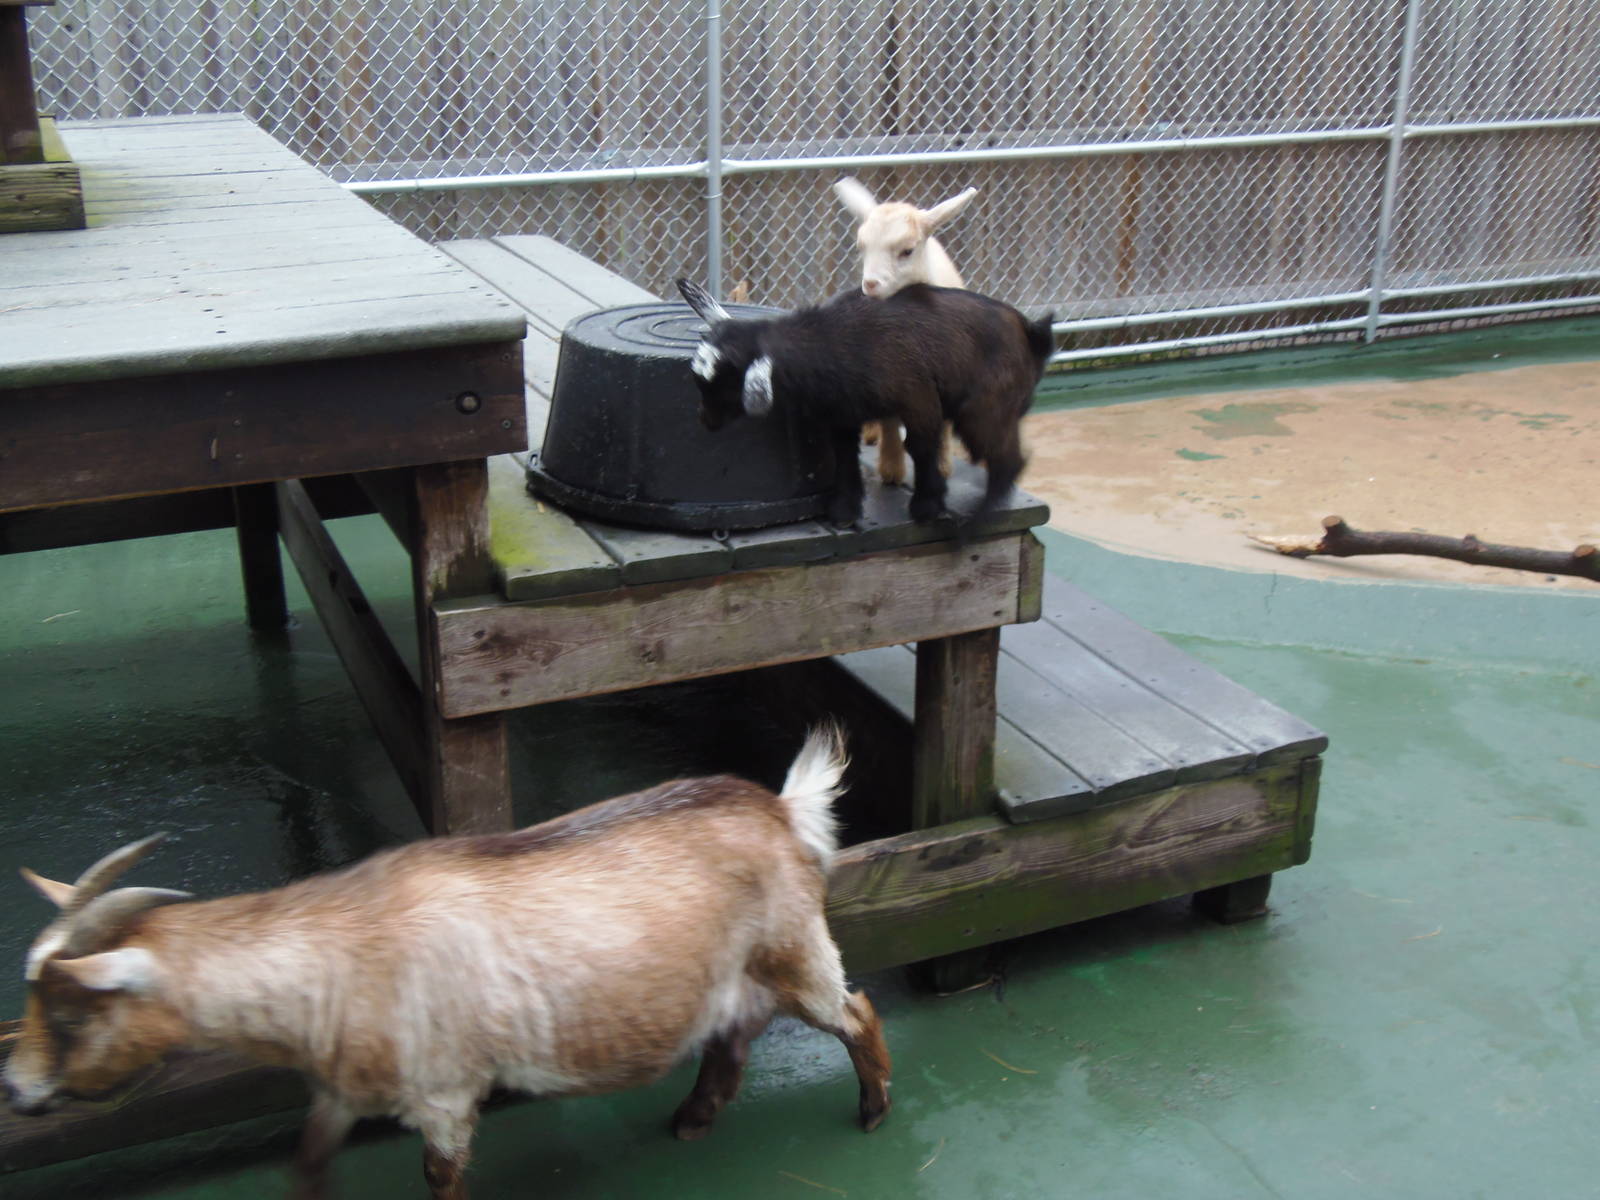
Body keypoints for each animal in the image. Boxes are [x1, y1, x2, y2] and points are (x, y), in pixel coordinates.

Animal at [4, 727, 889, 1200]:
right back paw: (693, 1121)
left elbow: (439, 1177)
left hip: (797, 949)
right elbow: (308, 1165)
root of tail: (781, 809)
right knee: (732, 1040)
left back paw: (874, 1112)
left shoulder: (443, 1094)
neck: (335, 952)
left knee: (855, 1012)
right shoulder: (338, 1090)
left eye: (73, 1009)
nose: (15, 1090)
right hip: (734, 975)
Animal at [678, 278, 1054, 527]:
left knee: (1010, 458)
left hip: (983, 410)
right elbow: (844, 454)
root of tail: (1032, 332)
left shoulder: (919, 401)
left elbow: (920, 447)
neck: (839, 341)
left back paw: (977, 521)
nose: (704, 419)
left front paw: (927, 506)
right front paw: (845, 511)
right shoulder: (842, 413)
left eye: (726, 382)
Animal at [833, 177, 978, 487]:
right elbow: (890, 424)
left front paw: (942, 468)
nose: (870, 284)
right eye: (861, 248)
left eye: (907, 251)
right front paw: (891, 471)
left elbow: (941, 425)